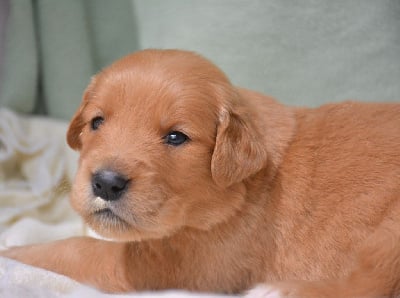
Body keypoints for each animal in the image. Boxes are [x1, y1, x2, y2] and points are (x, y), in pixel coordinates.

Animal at [0, 49, 400, 296]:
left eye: (176, 137)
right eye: (96, 122)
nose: (106, 183)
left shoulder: (172, 268)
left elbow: (75, 249)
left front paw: (13, 251)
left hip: (389, 234)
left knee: (368, 284)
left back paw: (279, 290)